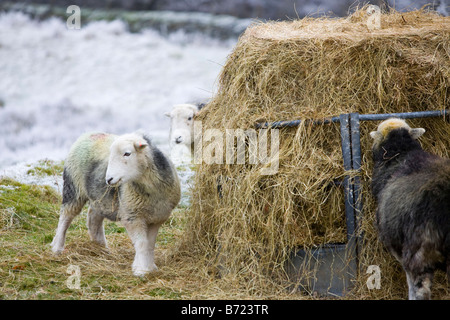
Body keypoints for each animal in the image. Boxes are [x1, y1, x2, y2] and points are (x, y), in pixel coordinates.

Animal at [51, 131, 181, 276]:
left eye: (127, 153)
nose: (109, 179)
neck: (149, 190)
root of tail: (91, 133)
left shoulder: (156, 218)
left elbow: (150, 244)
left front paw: (150, 267)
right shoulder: (131, 216)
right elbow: (142, 243)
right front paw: (141, 270)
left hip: (100, 198)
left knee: (93, 217)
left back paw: (101, 247)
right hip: (73, 188)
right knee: (65, 217)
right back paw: (57, 248)